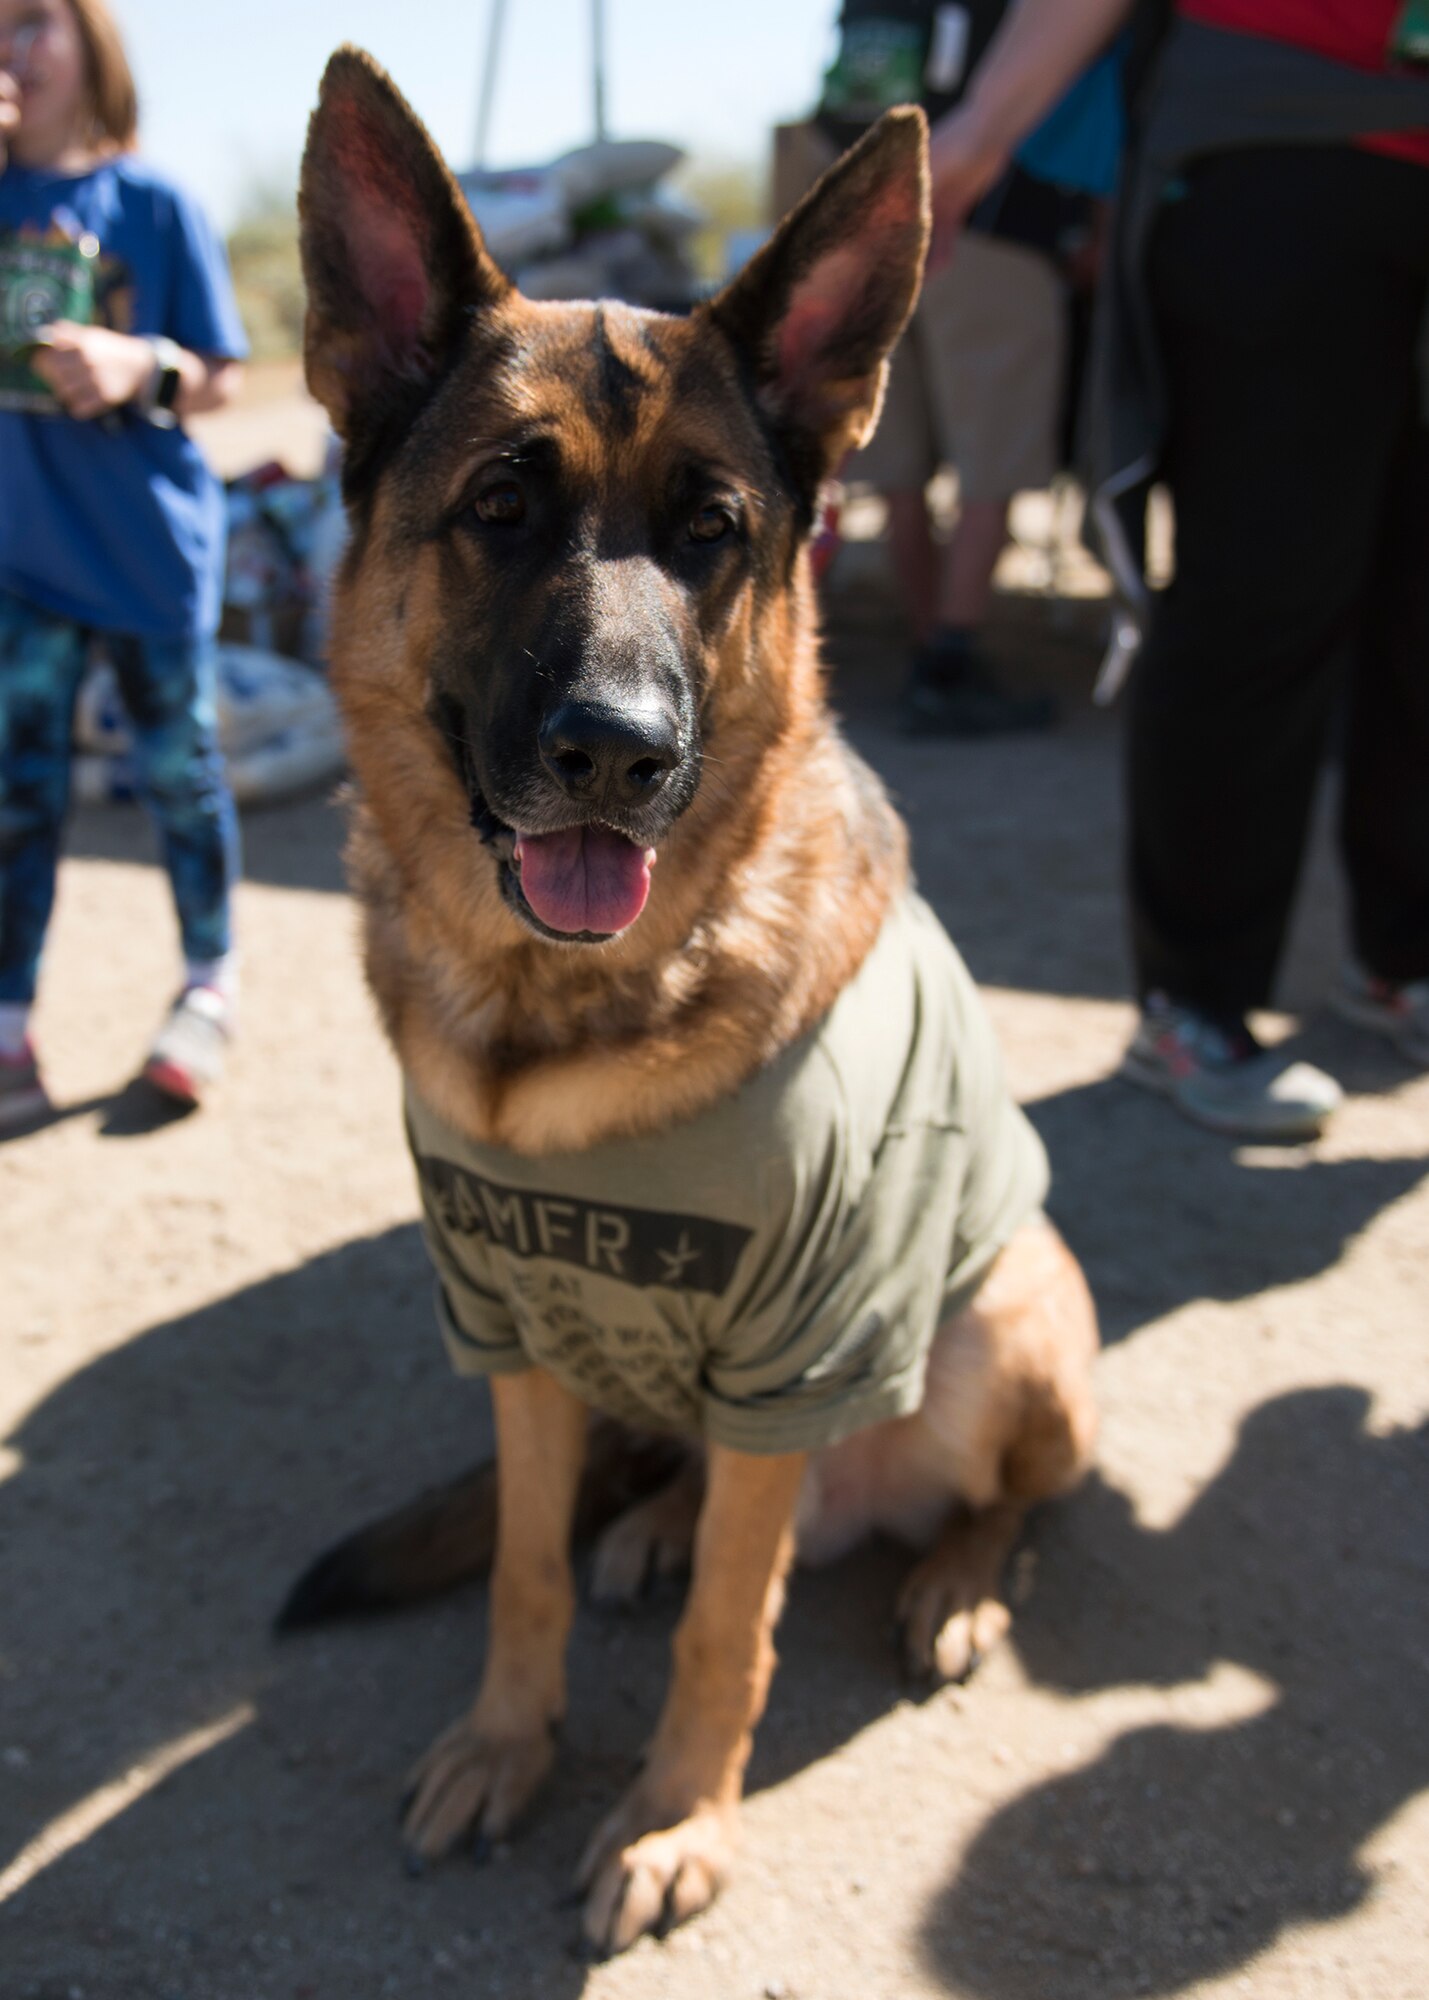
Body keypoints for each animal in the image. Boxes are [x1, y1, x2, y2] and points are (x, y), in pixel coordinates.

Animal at [286, 47, 1088, 1952]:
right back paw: (649, 1528)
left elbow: (734, 1629)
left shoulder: (803, 1343)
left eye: (713, 532)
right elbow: (522, 1568)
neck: (559, 1021)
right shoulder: (507, 1328)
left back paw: (952, 1581)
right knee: (673, 1490)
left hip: (1008, 1323)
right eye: (498, 509)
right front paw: (507, 1744)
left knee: (990, 1508)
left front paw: (671, 1819)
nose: (619, 755)